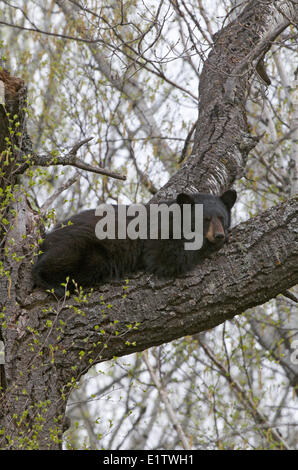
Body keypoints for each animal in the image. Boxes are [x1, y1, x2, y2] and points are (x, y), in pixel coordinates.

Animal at [32, 188, 236, 296]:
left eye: (221, 217)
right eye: (205, 219)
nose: (219, 235)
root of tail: (46, 238)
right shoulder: (156, 233)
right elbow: (165, 256)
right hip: (78, 244)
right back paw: (53, 284)